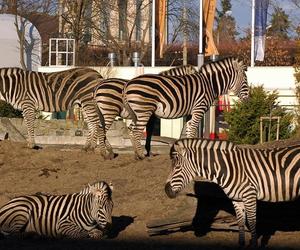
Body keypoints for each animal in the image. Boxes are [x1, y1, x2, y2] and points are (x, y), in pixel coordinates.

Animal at [165, 139, 300, 248]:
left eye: (177, 167)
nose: (166, 191)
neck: (229, 168)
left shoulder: (249, 195)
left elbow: (252, 222)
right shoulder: (237, 199)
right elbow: (240, 222)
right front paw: (241, 245)